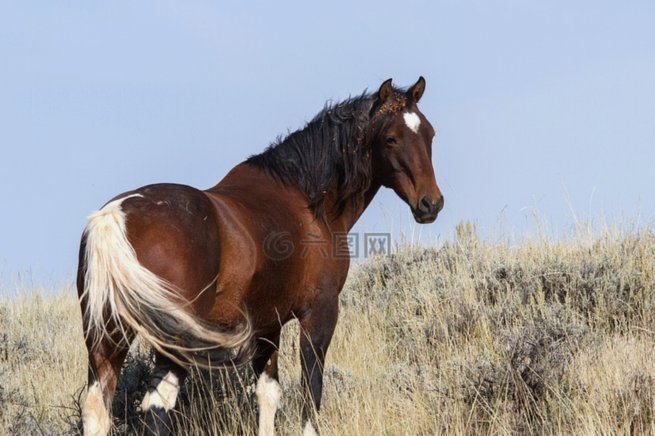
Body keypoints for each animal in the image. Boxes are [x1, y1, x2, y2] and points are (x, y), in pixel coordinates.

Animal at [77, 76, 444, 436]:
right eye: (391, 138)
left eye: (430, 134)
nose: (431, 203)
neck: (307, 200)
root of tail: (114, 217)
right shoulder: (320, 314)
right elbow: (310, 396)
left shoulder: (268, 325)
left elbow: (268, 395)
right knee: (158, 406)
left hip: (108, 338)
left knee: (97, 406)